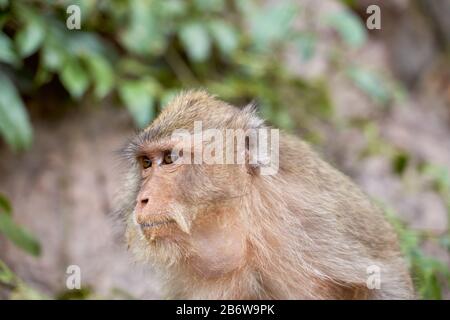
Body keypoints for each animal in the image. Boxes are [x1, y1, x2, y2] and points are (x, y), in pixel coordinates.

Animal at [116, 90, 414, 300]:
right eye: (146, 163)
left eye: (169, 158)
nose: (142, 199)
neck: (244, 221)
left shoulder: (316, 221)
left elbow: (383, 282)